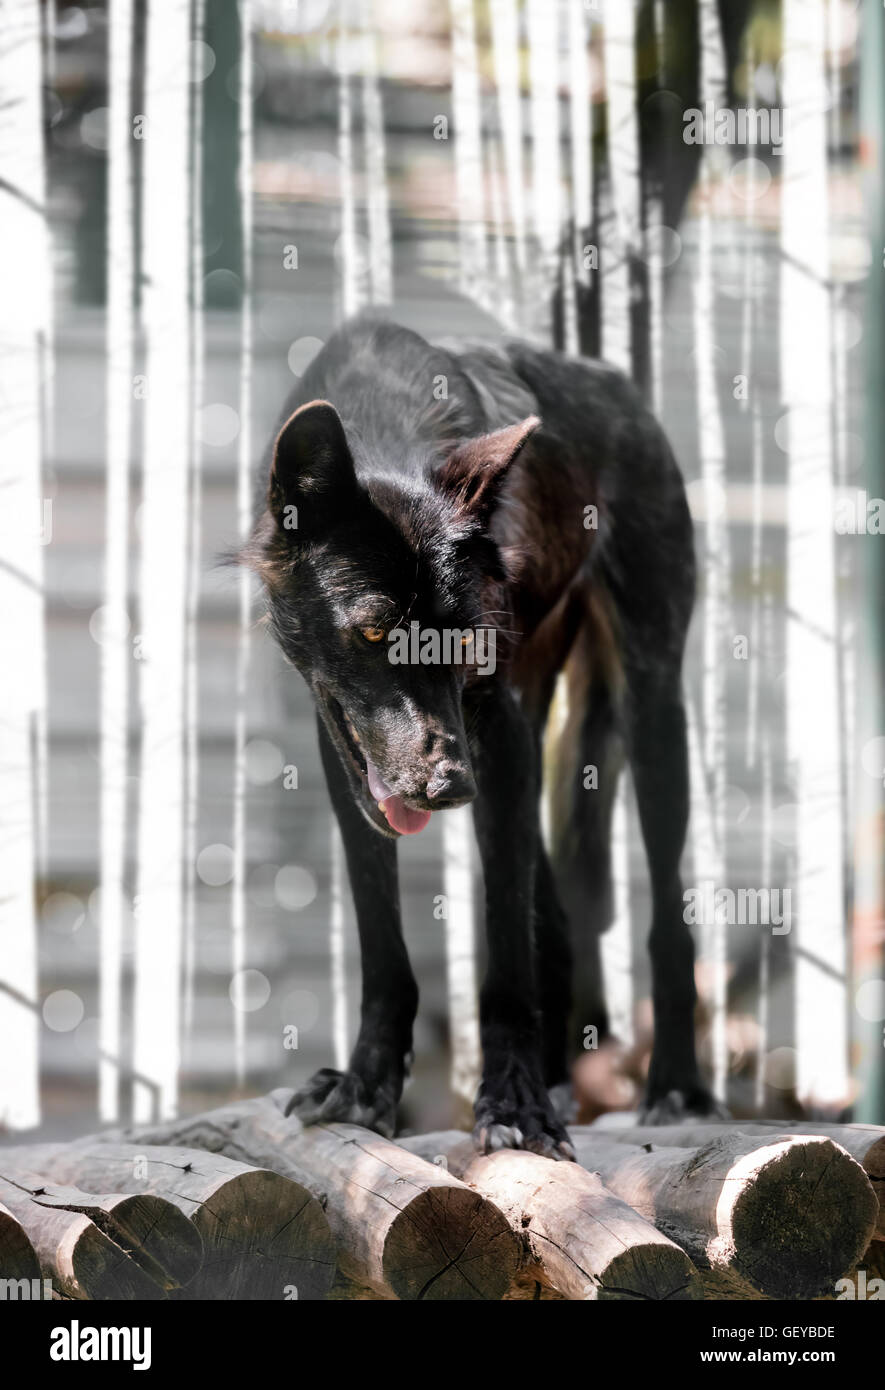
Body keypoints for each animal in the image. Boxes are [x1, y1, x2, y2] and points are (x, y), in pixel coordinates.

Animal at [241, 313, 721, 1157]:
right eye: (373, 631)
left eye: (459, 642)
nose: (448, 787)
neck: (380, 426)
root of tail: (617, 381)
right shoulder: (347, 756)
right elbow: (384, 946)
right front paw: (366, 1088)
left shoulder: (495, 731)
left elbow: (503, 954)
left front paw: (514, 1106)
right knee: (553, 916)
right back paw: (561, 1078)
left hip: (648, 711)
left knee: (666, 917)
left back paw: (672, 1087)